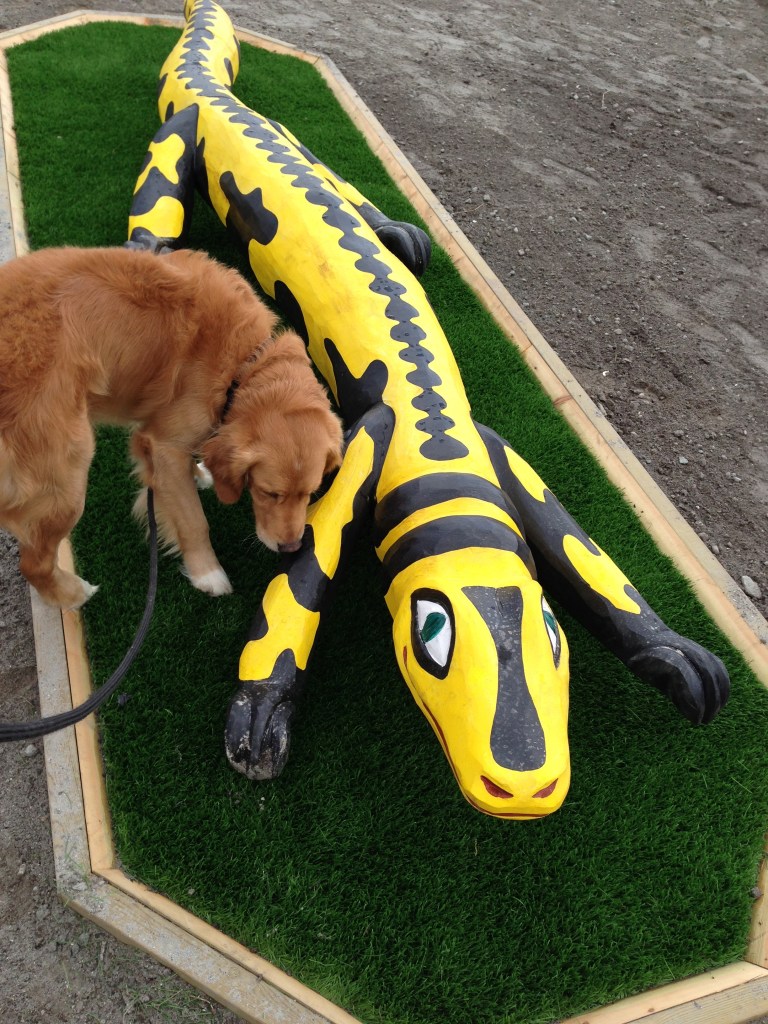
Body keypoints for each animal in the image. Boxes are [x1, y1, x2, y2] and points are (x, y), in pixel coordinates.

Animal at [0, 245, 344, 609]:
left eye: (311, 493)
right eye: (268, 493)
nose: (291, 547)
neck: (245, 363)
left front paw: (199, 472)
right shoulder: (165, 445)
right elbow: (194, 520)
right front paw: (207, 573)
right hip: (64, 479)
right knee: (33, 563)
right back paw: (74, 594)